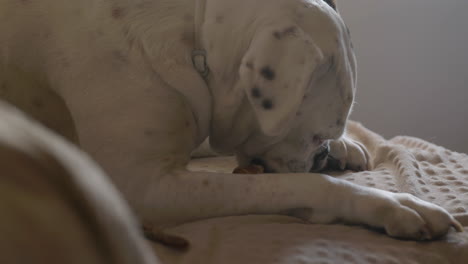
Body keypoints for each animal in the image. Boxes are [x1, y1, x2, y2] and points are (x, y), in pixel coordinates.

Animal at [0, 0, 460, 242]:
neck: (193, 37)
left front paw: (346, 146)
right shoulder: (145, 188)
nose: (322, 156)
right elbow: (301, 186)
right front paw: (390, 204)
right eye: (316, 136)